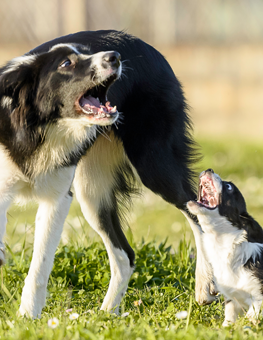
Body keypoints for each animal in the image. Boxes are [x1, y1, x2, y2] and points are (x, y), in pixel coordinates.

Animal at [0, 30, 213, 318]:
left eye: (86, 53)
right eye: (66, 63)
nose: (115, 57)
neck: (37, 128)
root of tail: (148, 47)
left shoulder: (57, 199)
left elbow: (40, 263)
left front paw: (27, 317)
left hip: (154, 165)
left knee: (195, 211)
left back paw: (204, 285)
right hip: (92, 192)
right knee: (125, 255)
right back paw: (108, 313)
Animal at [188, 169, 263, 326]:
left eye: (228, 187)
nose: (209, 170)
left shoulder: (259, 296)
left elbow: (252, 316)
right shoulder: (232, 299)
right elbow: (230, 316)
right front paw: (226, 328)